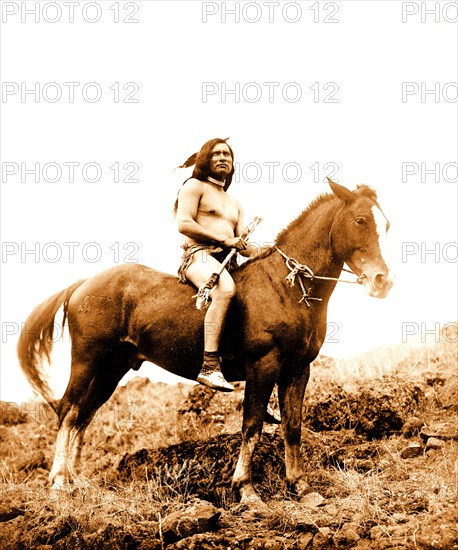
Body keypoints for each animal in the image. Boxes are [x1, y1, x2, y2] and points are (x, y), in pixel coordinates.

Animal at [16, 181, 392, 504]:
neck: (285, 288)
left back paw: (75, 479)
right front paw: (246, 489)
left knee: (84, 416)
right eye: (360, 220)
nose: (382, 281)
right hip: (87, 360)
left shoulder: (298, 370)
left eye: (384, 226)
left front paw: (300, 487)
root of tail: (84, 283)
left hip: (112, 369)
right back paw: (59, 481)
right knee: (68, 410)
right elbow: (251, 426)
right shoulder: (263, 366)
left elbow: (293, 427)